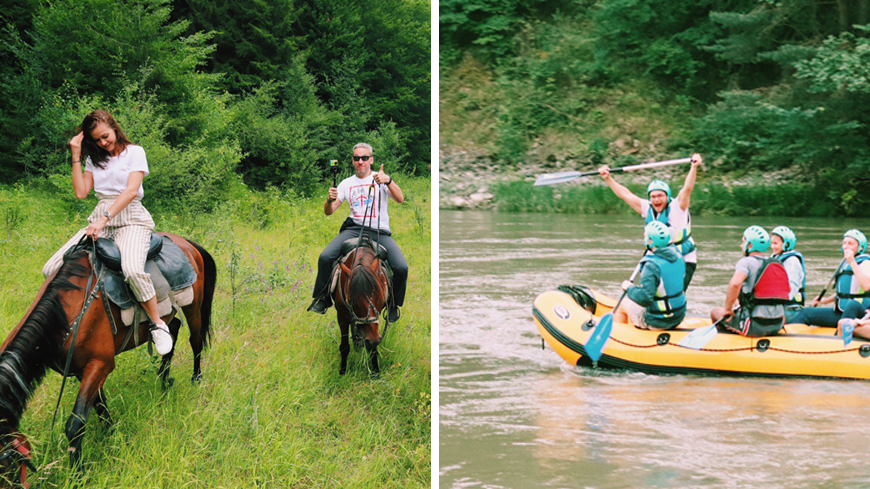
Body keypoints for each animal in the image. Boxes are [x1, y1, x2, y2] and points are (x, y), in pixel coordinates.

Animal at [0, 234, 215, 484]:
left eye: (3, 462)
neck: (68, 313)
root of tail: (186, 242)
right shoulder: (82, 370)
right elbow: (99, 405)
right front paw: (111, 432)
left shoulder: (100, 364)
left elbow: (75, 424)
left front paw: (78, 475)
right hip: (169, 313)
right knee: (172, 328)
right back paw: (163, 378)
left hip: (193, 306)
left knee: (196, 340)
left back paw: (195, 379)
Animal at [334, 240, 388, 374]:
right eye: (352, 301)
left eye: (378, 297)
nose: (373, 339)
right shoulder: (341, 317)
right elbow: (344, 347)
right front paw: (342, 372)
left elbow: (373, 348)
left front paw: (376, 373)